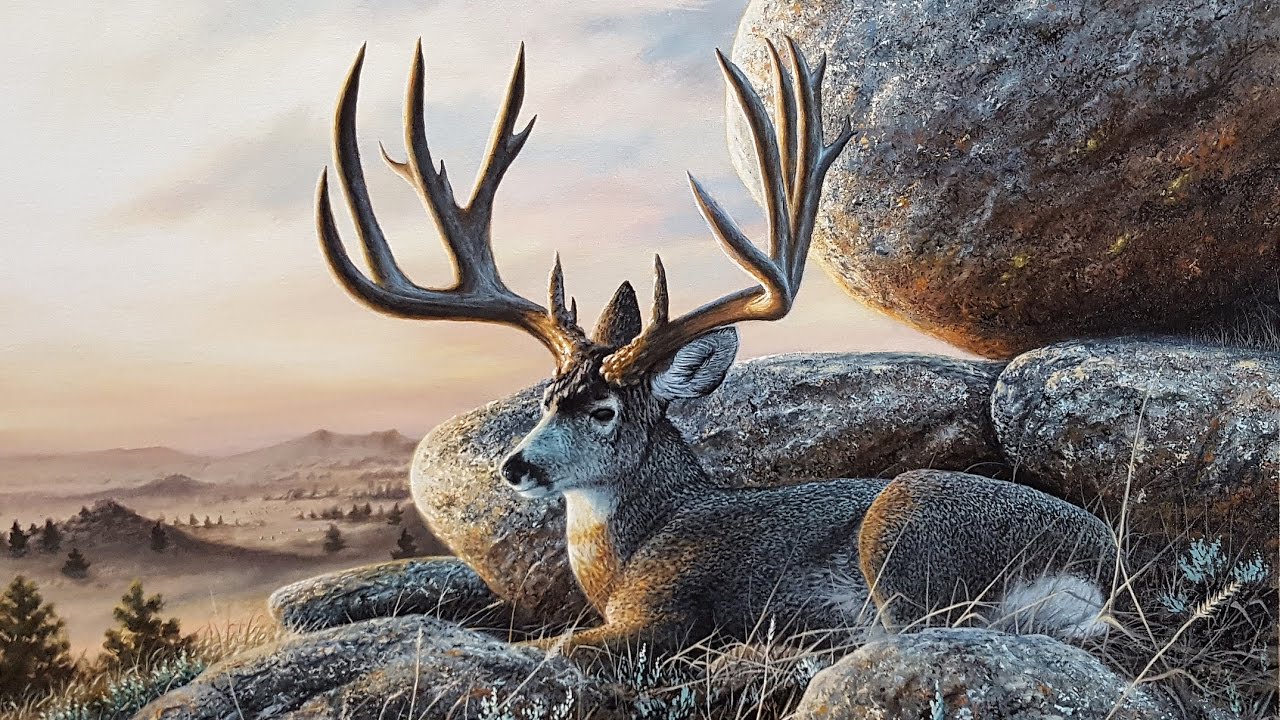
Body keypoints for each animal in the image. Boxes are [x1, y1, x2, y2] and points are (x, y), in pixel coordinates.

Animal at [315, 38, 1120, 662]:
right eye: (546, 398)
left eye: (603, 410)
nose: (516, 467)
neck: (633, 551)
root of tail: (1099, 565)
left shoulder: (667, 608)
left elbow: (560, 646)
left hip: (910, 531)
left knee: (905, 631)